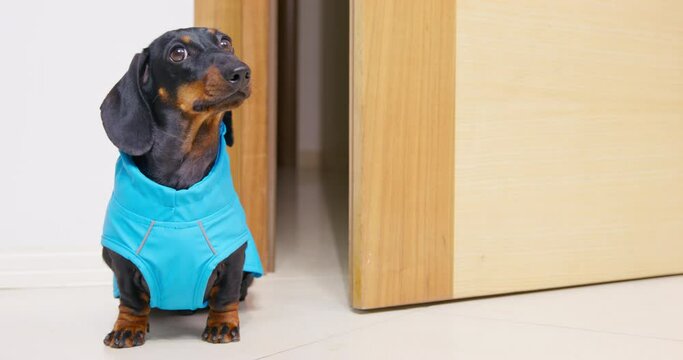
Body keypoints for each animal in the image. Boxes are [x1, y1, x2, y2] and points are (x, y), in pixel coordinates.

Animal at [101, 28, 260, 348]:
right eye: (178, 53)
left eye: (226, 42)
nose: (242, 72)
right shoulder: (121, 256)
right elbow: (131, 299)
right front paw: (128, 326)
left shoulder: (234, 253)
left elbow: (225, 294)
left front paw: (223, 324)